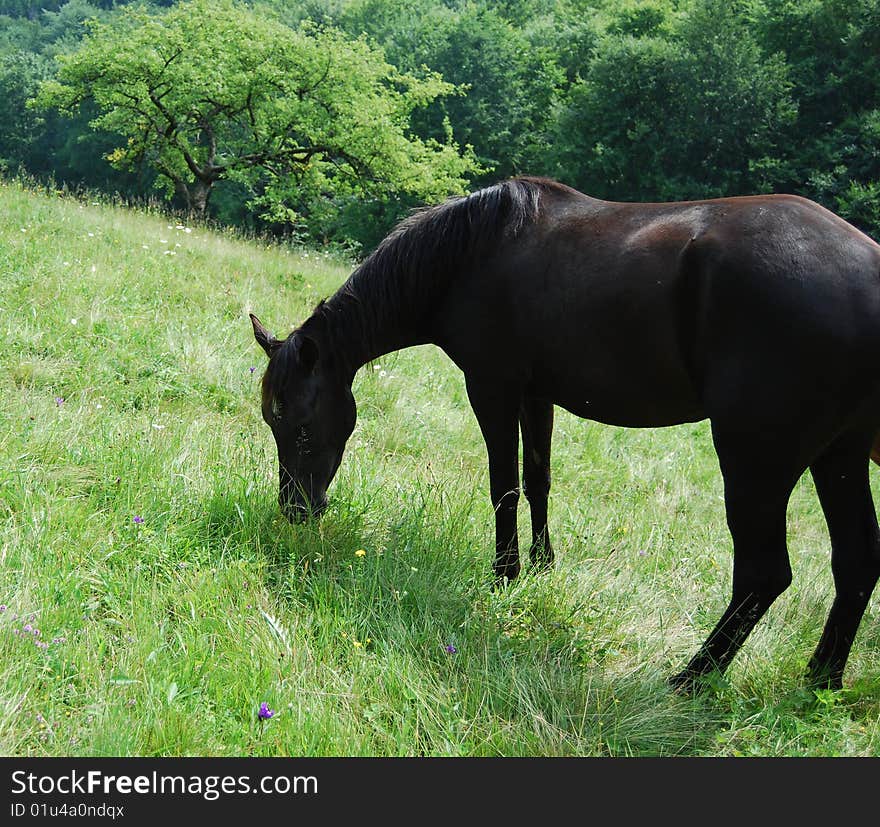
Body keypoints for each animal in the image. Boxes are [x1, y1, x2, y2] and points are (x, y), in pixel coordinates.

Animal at [248, 176, 880, 692]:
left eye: (296, 422)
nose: (295, 510)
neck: (473, 252)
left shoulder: (492, 386)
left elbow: (503, 484)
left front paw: (504, 574)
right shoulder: (536, 393)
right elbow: (538, 480)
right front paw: (541, 565)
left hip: (756, 459)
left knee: (763, 573)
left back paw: (693, 678)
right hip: (839, 456)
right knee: (856, 562)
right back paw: (820, 679)